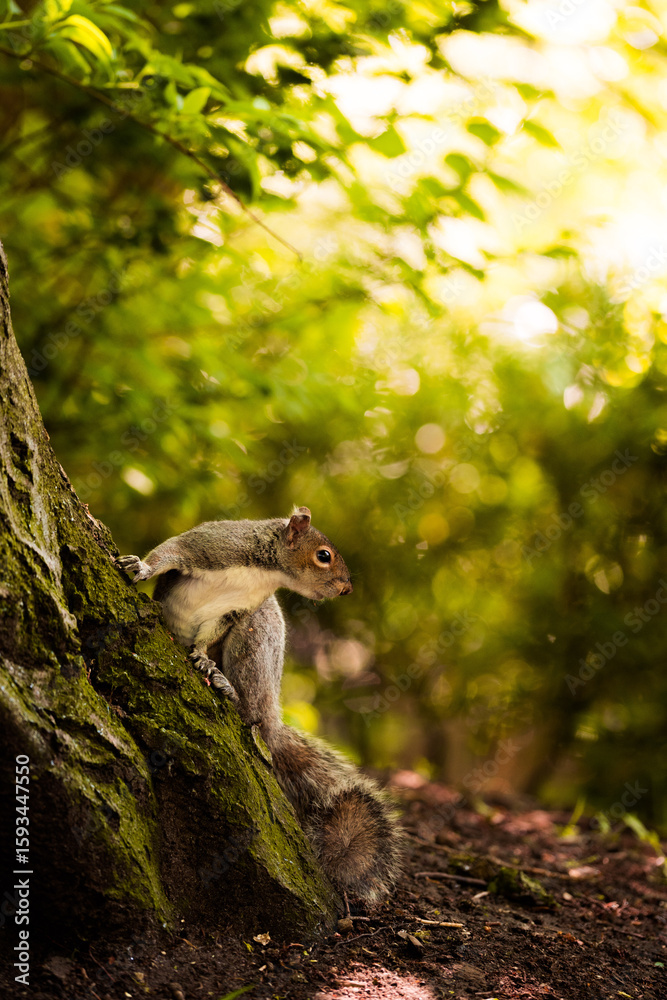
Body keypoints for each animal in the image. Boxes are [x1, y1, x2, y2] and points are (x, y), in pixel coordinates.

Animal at [115, 506, 403, 908]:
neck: (266, 571)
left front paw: (203, 658)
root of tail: (271, 718)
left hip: (255, 632)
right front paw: (141, 567)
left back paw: (228, 688)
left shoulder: (236, 610)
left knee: (249, 710)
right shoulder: (208, 547)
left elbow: (209, 633)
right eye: (324, 556)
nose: (346, 588)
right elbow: (170, 552)